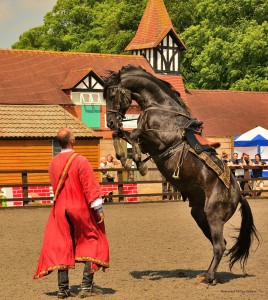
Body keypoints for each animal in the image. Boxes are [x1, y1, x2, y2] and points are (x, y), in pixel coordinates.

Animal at [103, 64, 260, 284]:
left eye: (112, 94)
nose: (109, 121)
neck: (162, 108)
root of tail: (238, 194)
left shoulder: (161, 141)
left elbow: (134, 134)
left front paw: (138, 161)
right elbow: (121, 135)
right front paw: (127, 158)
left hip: (213, 214)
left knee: (220, 245)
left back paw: (208, 278)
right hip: (199, 214)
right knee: (219, 244)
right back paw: (210, 275)